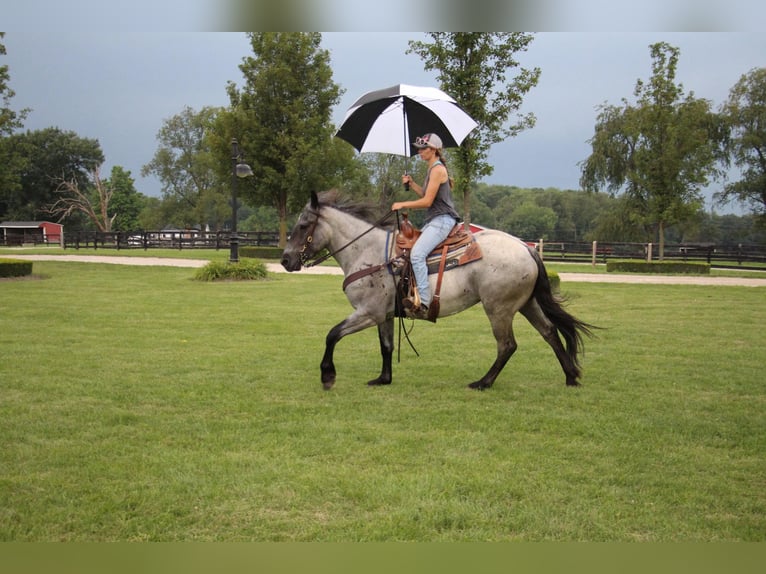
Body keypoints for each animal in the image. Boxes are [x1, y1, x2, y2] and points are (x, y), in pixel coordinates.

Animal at [280, 191, 592, 394]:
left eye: (304, 225)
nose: (285, 260)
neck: (368, 252)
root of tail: (526, 249)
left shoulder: (368, 312)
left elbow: (332, 334)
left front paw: (327, 375)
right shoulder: (384, 315)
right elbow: (386, 347)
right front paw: (383, 379)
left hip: (499, 309)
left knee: (507, 345)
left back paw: (483, 382)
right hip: (527, 303)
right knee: (550, 332)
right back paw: (571, 376)